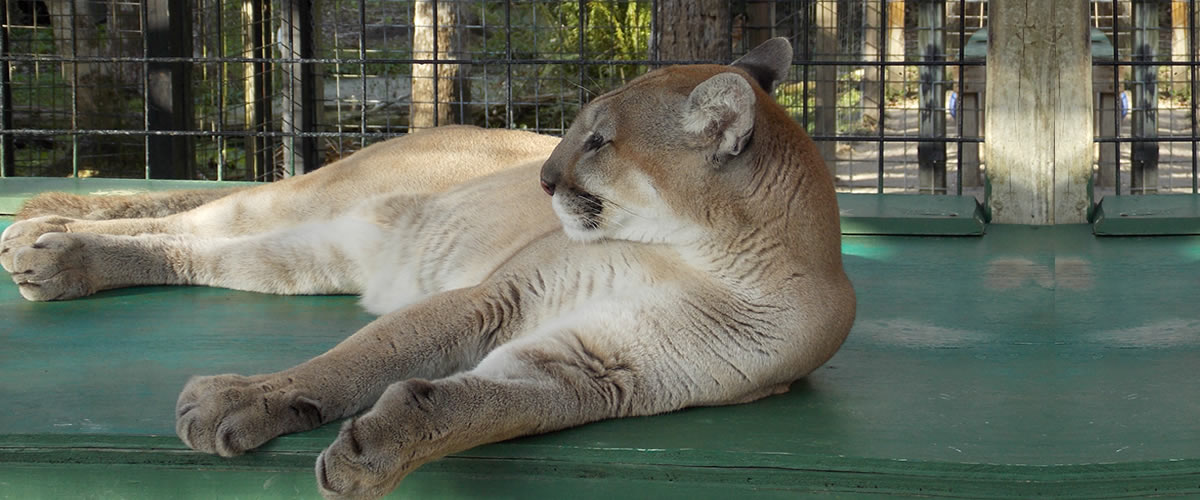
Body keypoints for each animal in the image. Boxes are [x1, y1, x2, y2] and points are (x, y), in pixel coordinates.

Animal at [0, 38, 854, 498]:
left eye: (599, 141)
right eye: (579, 129)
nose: (544, 178)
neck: (701, 259)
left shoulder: (594, 367)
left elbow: (487, 407)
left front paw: (381, 447)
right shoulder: (499, 296)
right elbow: (358, 359)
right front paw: (249, 397)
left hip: (306, 256)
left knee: (200, 250)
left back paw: (52, 253)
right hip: (308, 203)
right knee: (198, 215)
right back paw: (46, 240)